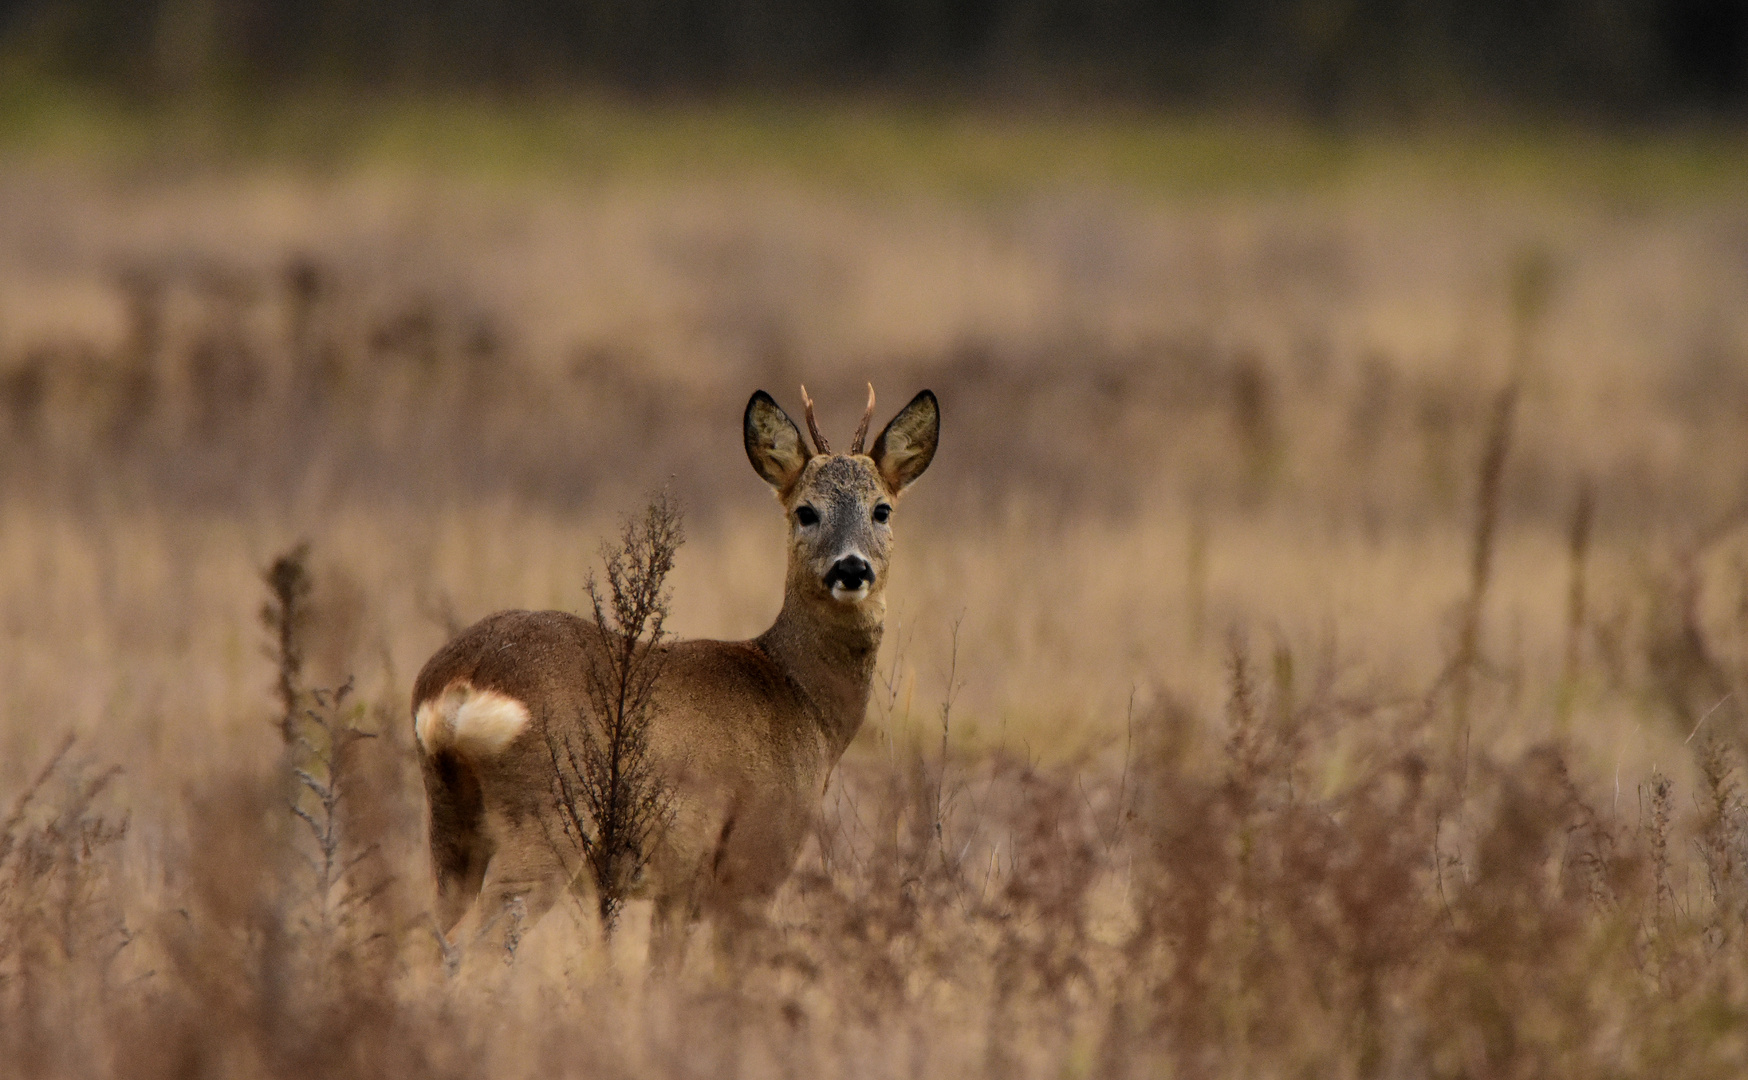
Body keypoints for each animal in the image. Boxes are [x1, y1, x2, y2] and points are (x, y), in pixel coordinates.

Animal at [412, 384, 943, 957]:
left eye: (882, 509)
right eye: (806, 511)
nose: (851, 568)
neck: (802, 699)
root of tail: (462, 681)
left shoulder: (678, 886)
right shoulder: (756, 855)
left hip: (450, 822)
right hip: (546, 819)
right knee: (476, 944)